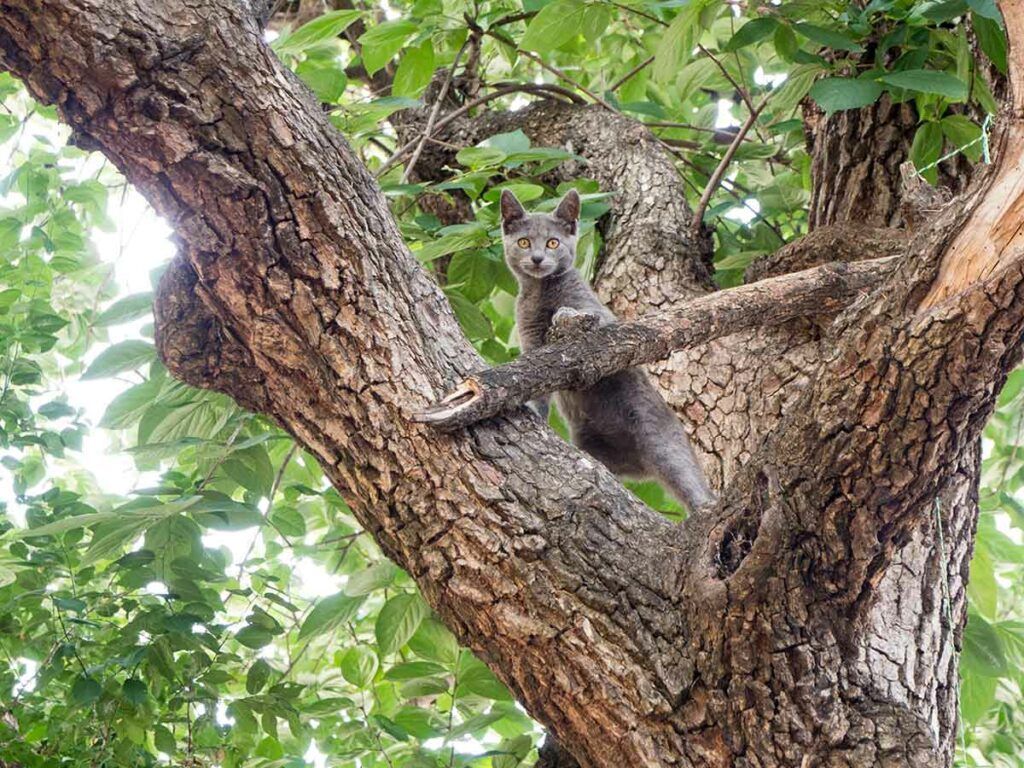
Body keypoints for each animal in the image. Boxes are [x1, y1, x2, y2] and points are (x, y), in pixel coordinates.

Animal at [499, 188, 716, 512]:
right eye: (524, 242)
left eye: (553, 243)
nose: (537, 258)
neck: (539, 293)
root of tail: (642, 467)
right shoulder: (531, 340)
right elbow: (536, 381)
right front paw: (533, 409)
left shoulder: (599, 316)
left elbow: (587, 318)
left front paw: (564, 313)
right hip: (590, 440)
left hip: (661, 440)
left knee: (691, 484)